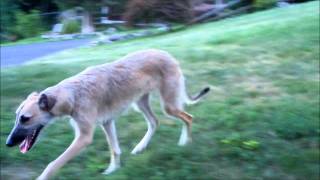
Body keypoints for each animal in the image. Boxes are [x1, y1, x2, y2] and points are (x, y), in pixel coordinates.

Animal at [5, 48, 210, 179]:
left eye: (25, 118)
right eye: (16, 116)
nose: (8, 143)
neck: (72, 94)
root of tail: (169, 55)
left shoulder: (84, 137)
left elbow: (53, 164)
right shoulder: (107, 122)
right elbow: (115, 149)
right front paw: (113, 170)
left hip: (168, 105)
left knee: (188, 117)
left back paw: (185, 142)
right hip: (140, 103)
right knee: (154, 122)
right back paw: (140, 147)